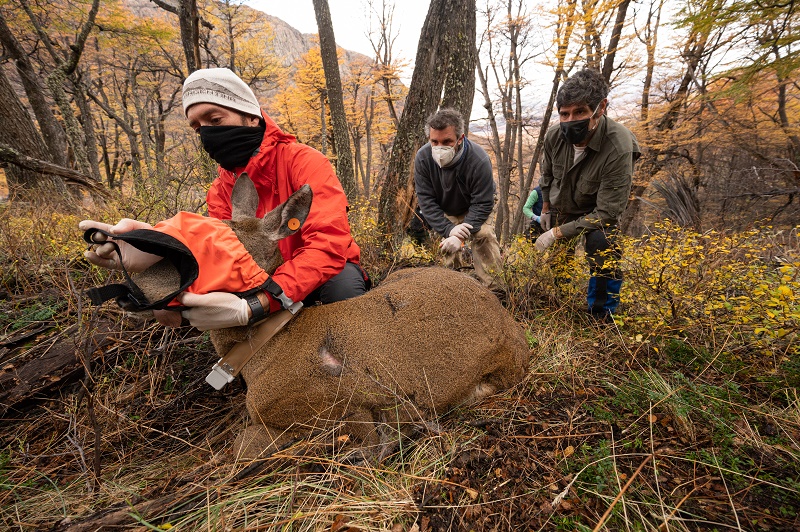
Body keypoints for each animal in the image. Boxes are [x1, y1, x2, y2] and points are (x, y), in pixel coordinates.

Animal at [131, 177, 532, 460]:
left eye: (220, 249)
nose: (138, 285)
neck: (261, 350)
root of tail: (513, 332)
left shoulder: (333, 404)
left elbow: (240, 450)